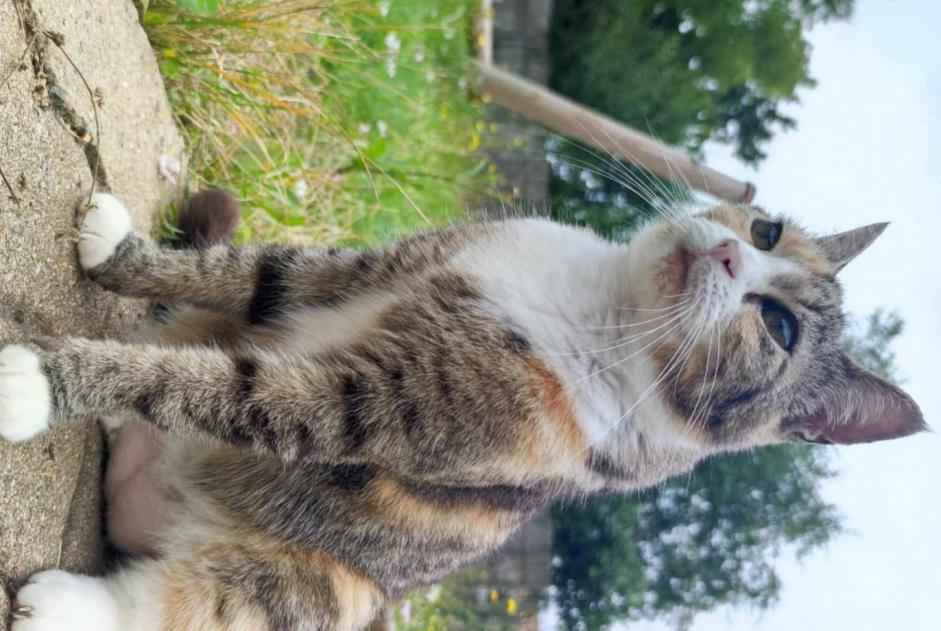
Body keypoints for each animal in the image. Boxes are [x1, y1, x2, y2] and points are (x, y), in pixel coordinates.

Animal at [0, 193, 924, 631]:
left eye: (779, 327)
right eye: (765, 226)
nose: (729, 250)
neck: (602, 307)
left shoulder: (375, 406)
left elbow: (229, 392)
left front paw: (38, 380)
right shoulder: (373, 268)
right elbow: (256, 271)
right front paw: (116, 251)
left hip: (326, 585)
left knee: (198, 604)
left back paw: (72, 604)